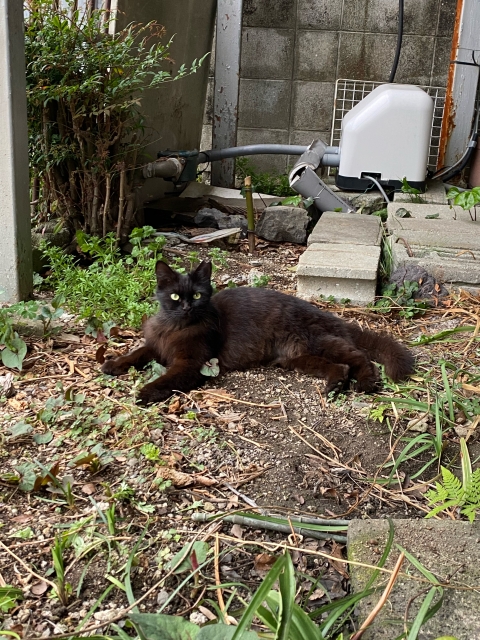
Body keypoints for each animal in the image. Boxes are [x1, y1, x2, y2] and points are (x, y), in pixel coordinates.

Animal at [100, 258, 412, 402]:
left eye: (198, 295)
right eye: (175, 296)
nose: (187, 307)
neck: (176, 326)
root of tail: (330, 315)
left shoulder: (190, 363)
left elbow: (166, 378)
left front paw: (143, 392)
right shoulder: (157, 345)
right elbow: (137, 353)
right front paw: (113, 364)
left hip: (318, 343)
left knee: (359, 357)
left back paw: (366, 384)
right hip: (297, 358)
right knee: (341, 366)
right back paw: (335, 385)